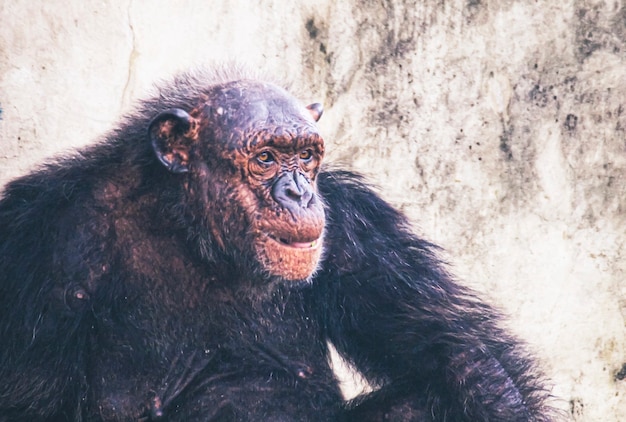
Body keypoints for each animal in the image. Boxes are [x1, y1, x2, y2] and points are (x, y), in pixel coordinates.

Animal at [0, 66, 552, 418]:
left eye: (305, 155)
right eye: (264, 157)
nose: (299, 193)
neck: (193, 229)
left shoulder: (355, 228)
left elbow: (458, 352)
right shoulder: (42, 247)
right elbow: (28, 400)